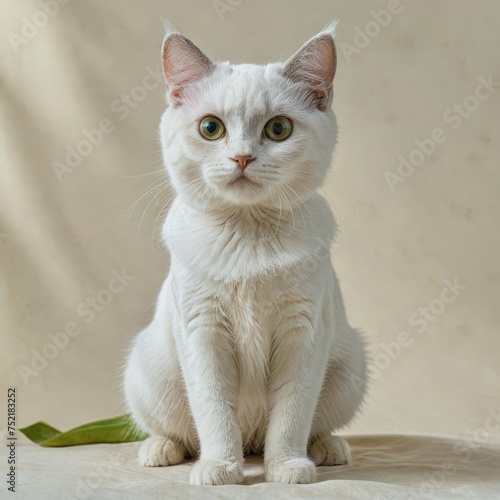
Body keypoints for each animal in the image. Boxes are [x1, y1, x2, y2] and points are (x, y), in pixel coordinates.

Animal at [124, 24, 368, 484]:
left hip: (349, 369)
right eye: (210, 127)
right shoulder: (202, 330)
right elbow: (214, 410)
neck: (247, 237)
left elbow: (292, 411)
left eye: (278, 129)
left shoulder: (304, 331)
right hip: (150, 371)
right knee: (175, 430)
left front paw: (286, 466)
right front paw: (220, 467)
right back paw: (161, 450)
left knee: (311, 424)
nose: (241, 157)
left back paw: (326, 448)